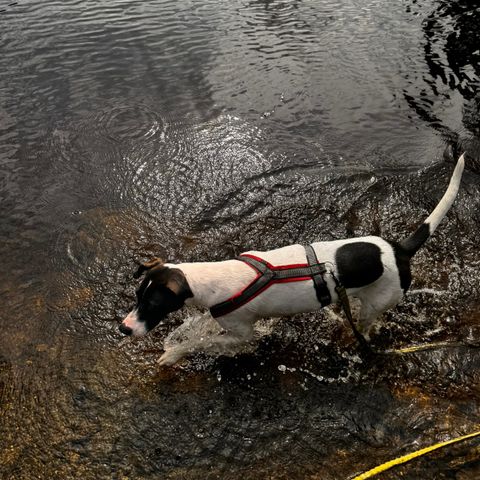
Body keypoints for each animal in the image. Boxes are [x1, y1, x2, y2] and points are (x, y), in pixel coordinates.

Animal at [120, 154, 464, 364]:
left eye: (154, 303)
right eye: (137, 296)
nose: (124, 329)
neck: (212, 279)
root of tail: (399, 249)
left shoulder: (243, 334)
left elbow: (204, 343)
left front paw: (173, 354)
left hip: (377, 303)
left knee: (367, 324)